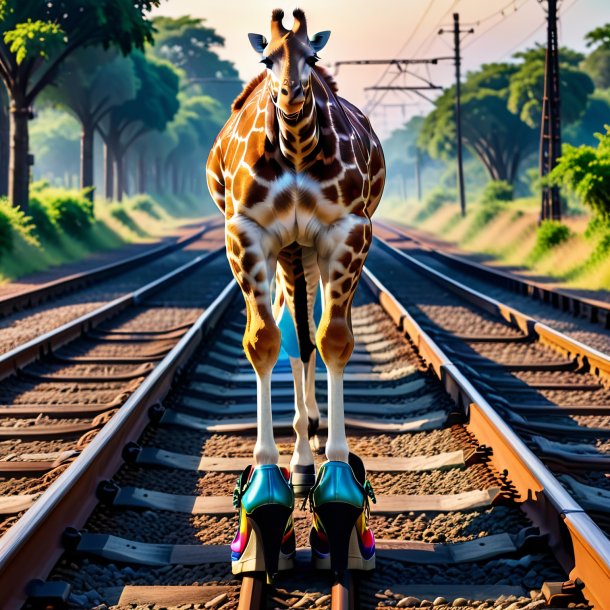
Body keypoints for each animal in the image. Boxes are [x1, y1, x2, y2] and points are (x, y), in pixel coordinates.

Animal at [207, 10, 382, 580]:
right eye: (267, 58)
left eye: (314, 55)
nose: (289, 96)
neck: (299, 148)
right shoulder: (247, 231)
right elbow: (263, 343)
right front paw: (267, 480)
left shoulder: (348, 229)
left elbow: (333, 342)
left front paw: (336, 473)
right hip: (290, 250)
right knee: (295, 336)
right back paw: (299, 463)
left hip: (306, 249)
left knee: (308, 336)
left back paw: (309, 460)